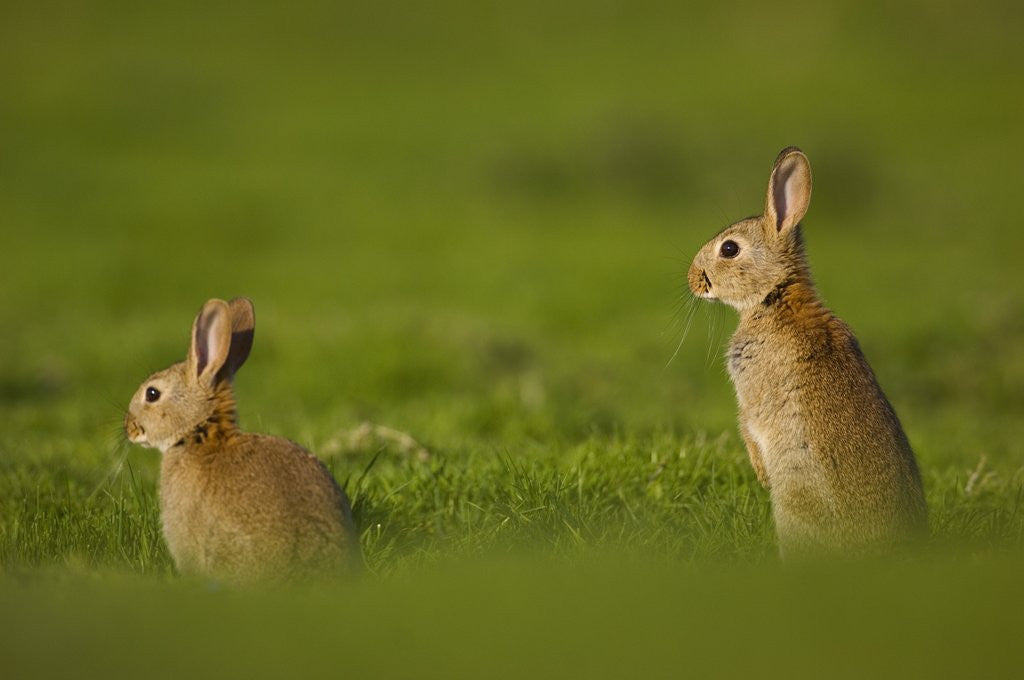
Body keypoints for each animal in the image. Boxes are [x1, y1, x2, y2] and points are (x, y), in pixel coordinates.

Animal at [687, 147, 927, 557]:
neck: (776, 298)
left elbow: (748, 425)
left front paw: (762, 477)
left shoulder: (752, 398)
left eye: (729, 249)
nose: (691, 279)